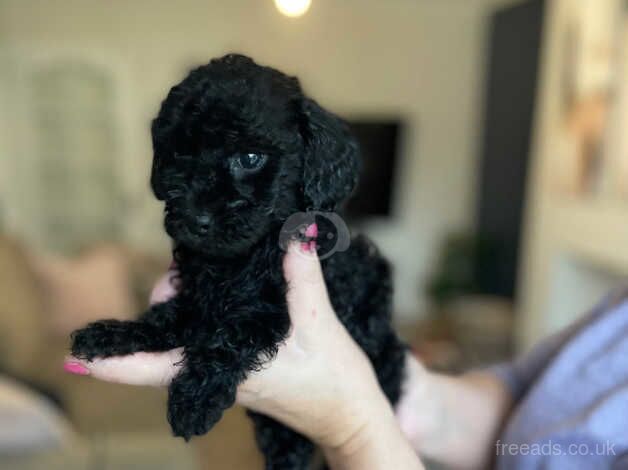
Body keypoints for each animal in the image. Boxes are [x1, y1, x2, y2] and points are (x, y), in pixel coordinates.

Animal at [71, 55, 408, 470]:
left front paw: (194, 399)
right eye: (181, 154)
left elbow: (231, 333)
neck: (240, 258)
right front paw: (114, 333)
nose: (195, 218)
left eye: (249, 158)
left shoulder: (274, 306)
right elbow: (168, 317)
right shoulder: (198, 297)